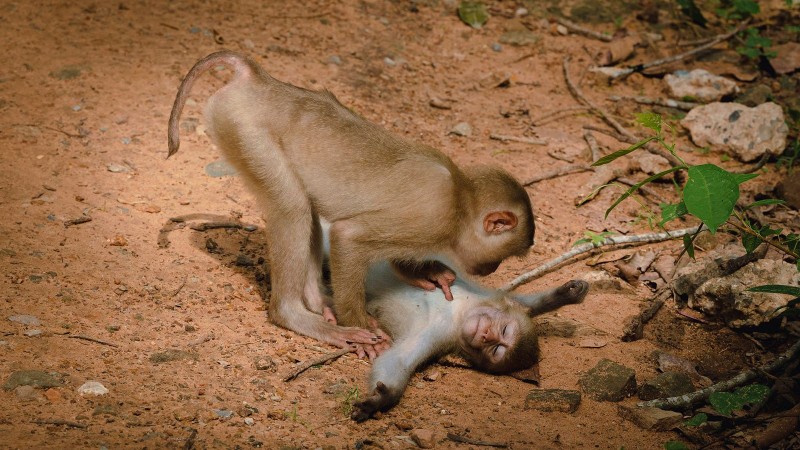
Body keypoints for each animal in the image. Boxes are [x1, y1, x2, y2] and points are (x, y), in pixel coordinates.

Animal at [166, 51, 536, 356]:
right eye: (502, 257)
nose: (491, 269)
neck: (460, 198)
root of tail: (257, 79)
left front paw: (423, 271)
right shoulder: (434, 218)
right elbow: (348, 237)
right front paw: (360, 325)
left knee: (307, 209)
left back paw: (318, 301)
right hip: (244, 129)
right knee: (293, 207)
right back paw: (297, 315)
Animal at [350, 260, 588, 422]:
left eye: (496, 350)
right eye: (503, 330)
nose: (487, 335)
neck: (461, 313)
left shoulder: (439, 334)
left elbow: (398, 359)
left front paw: (381, 400)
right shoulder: (483, 297)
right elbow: (519, 301)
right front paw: (565, 294)